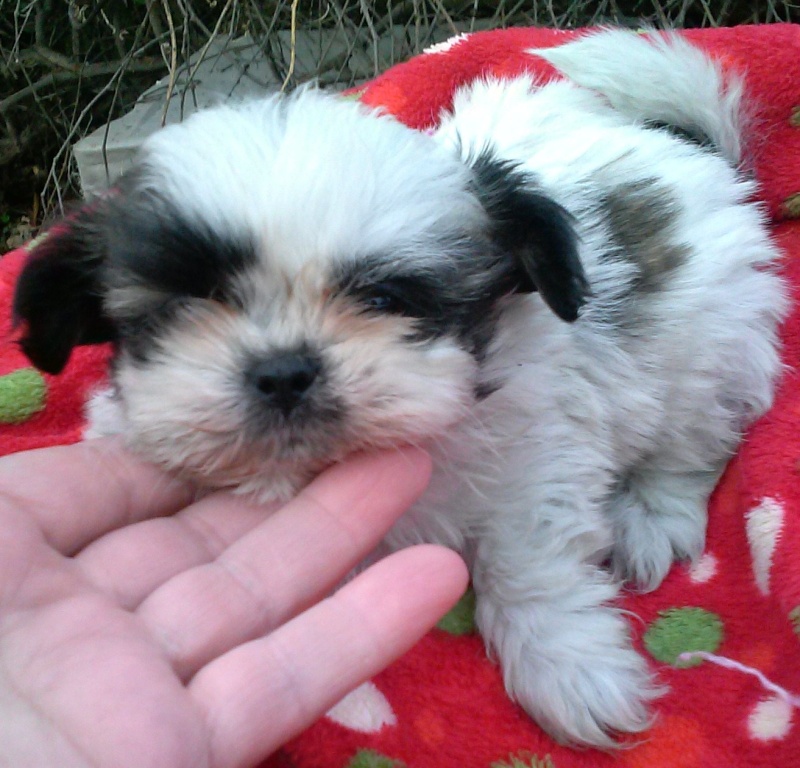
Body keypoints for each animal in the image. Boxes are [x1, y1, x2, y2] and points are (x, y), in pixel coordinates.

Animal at [10, 30, 788, 744]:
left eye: (384, 299)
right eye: (185, 305)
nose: (284, 370)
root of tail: (690, 153)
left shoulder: (537, 460)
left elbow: (529, 562)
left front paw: (569, 667)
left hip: (709, 345)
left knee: (691, 442)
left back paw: (650, 516)